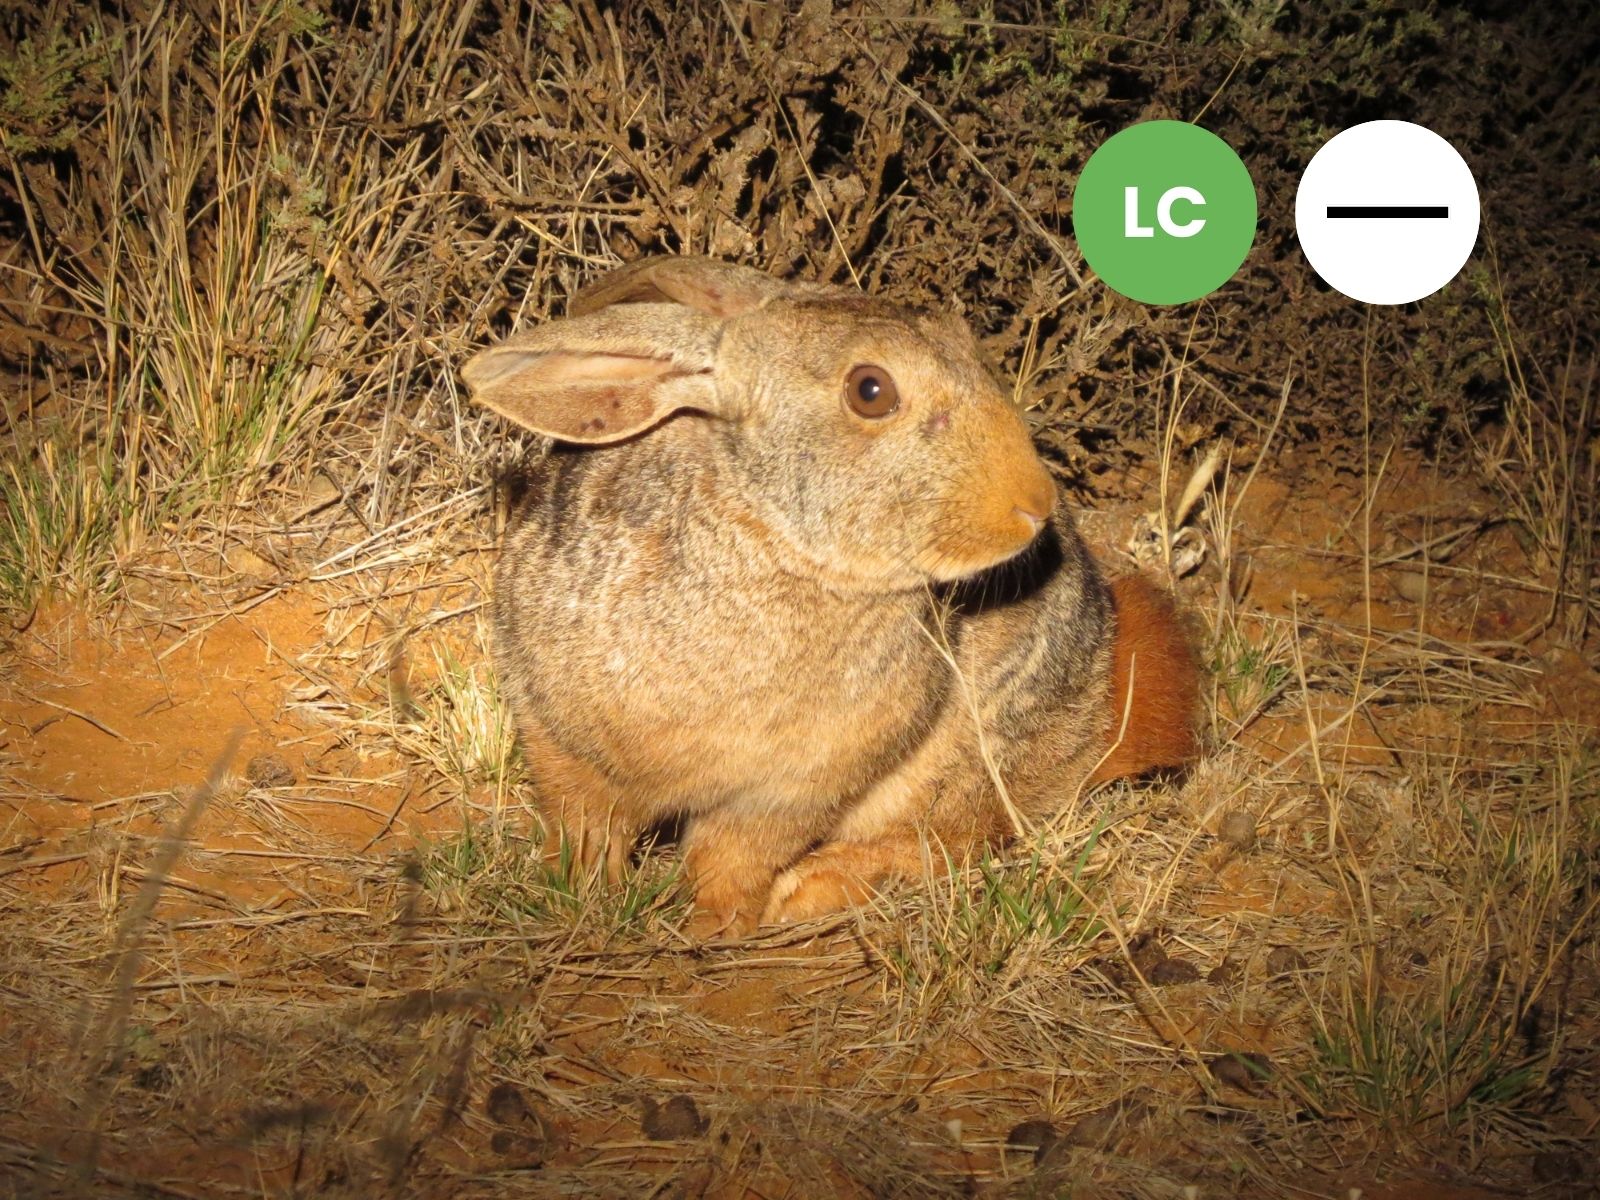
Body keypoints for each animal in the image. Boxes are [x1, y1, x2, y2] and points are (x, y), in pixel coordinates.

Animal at [462, 255, 1197, 932]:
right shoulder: (554, 726)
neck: (774, 538)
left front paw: (719, 926)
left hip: (970, 761)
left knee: (956, 839)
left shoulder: (792, 792)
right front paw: (586, 890)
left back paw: (813, 890)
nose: (1034, 503)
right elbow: (584, 817)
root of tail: (1097, 711)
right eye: (870, 390)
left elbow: (731, 857)